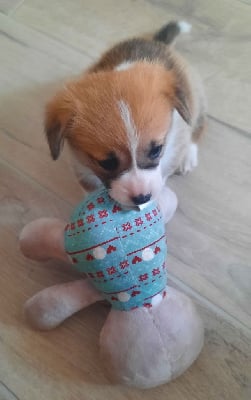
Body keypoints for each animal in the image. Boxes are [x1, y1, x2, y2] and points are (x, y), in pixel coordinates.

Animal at [45, 19, 206, 206]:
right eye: (107, 163)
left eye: (156, 150)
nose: (142, 198)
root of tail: (158, 42)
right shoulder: (81, 167)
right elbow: (88, 188)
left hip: (196, 99)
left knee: (198, 125)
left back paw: (188, 155)